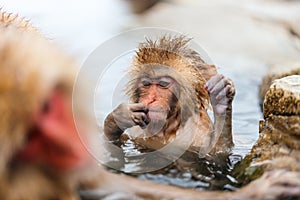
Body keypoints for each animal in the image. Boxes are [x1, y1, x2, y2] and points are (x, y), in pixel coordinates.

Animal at [104, 35, 236, 155]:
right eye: (146, 83)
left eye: (163, 84)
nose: (151, 99)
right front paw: (119, 118)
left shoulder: (199, 132)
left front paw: (222, 102)